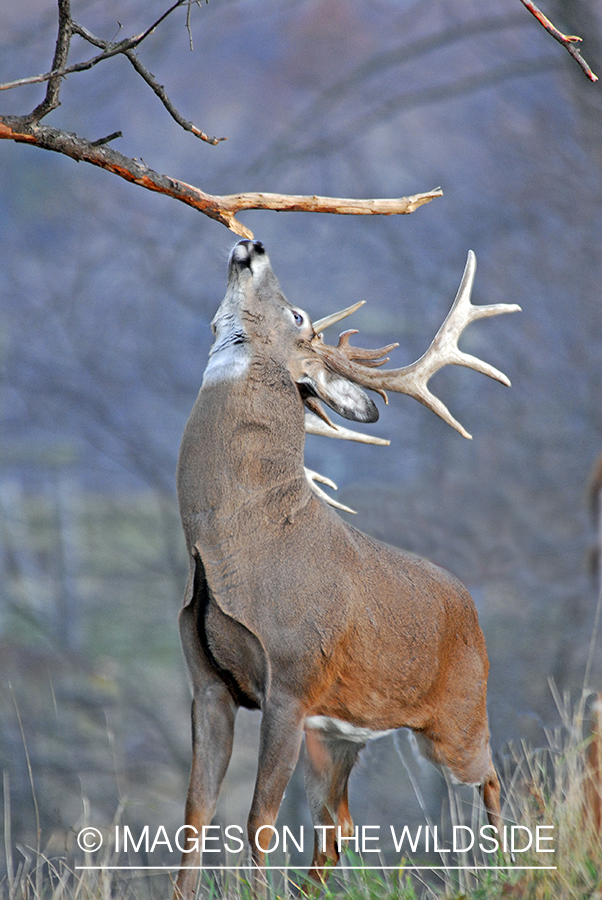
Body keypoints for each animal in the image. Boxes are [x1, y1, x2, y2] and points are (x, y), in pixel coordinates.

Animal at [175, 236, 520, 896]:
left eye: (297, 314)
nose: (254, 241)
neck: (234, 545)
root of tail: (470, 605)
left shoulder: (290, 679)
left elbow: (260, 819)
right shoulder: (208, 683)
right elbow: (196, 814)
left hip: (461, 710)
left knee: (488, 777)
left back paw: (507, 871)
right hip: (337, 735)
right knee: (338, 828)